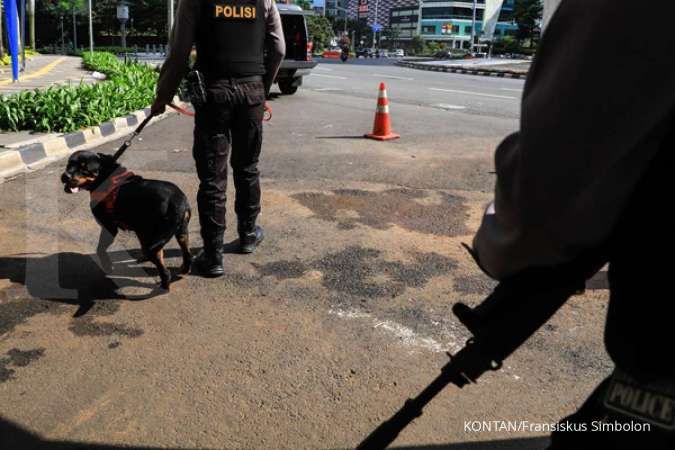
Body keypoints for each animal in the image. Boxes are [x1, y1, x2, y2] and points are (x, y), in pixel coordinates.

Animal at [61, 150, 193, 292]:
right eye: (69, 164)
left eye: (84, 168)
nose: (65, 176)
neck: (104, 176)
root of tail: (177, 199)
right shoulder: (140, 229)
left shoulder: (110, 227)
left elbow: (100, 248)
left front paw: (107, 265)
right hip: (180, 232)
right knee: (186, 252)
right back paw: (184, 269)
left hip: (156, 236)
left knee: (163, 267)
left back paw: (164, 285)